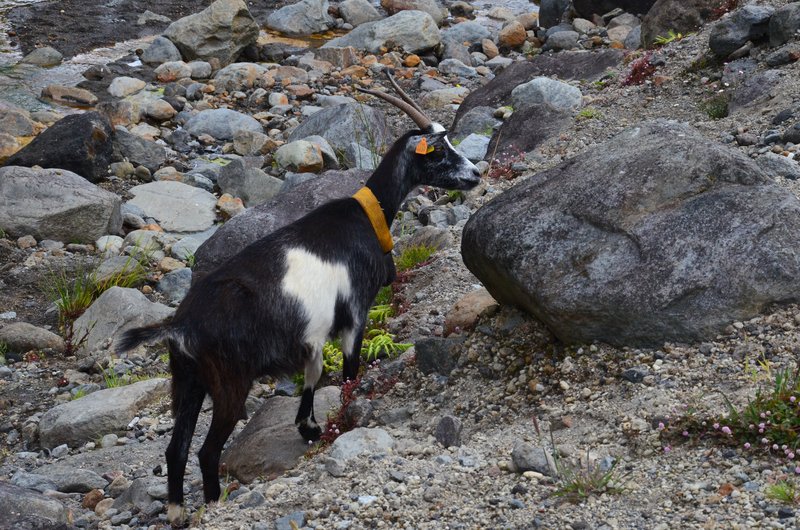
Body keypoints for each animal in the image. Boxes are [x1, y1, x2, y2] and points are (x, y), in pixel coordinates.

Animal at [116, 72, 481, 523]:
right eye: (440, 151)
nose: (475, 174)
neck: (367, 216)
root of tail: (179, 324)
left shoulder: (312, 334)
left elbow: (312, 374)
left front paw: (308, 426)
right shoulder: (354, 314)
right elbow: (348, 373)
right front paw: (339, 422)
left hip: (187, 380)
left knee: (176, 448)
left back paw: (177, 512)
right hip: (229, 380)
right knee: (206, 450)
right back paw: (215, 503)